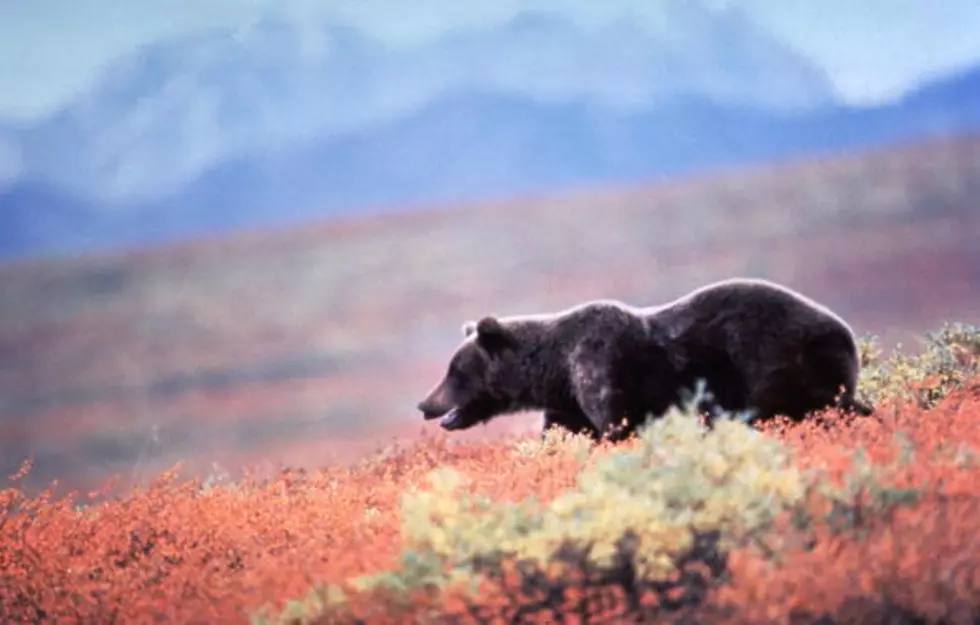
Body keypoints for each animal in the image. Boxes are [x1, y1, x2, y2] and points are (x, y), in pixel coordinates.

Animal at [418, 276, 876, 442]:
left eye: (454, 371)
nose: (425, 404)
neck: (555, 367)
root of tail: (847, 332)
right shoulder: (568, 397)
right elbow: (563, 431)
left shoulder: (599, 364)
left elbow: (614, 422)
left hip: (775, 361)